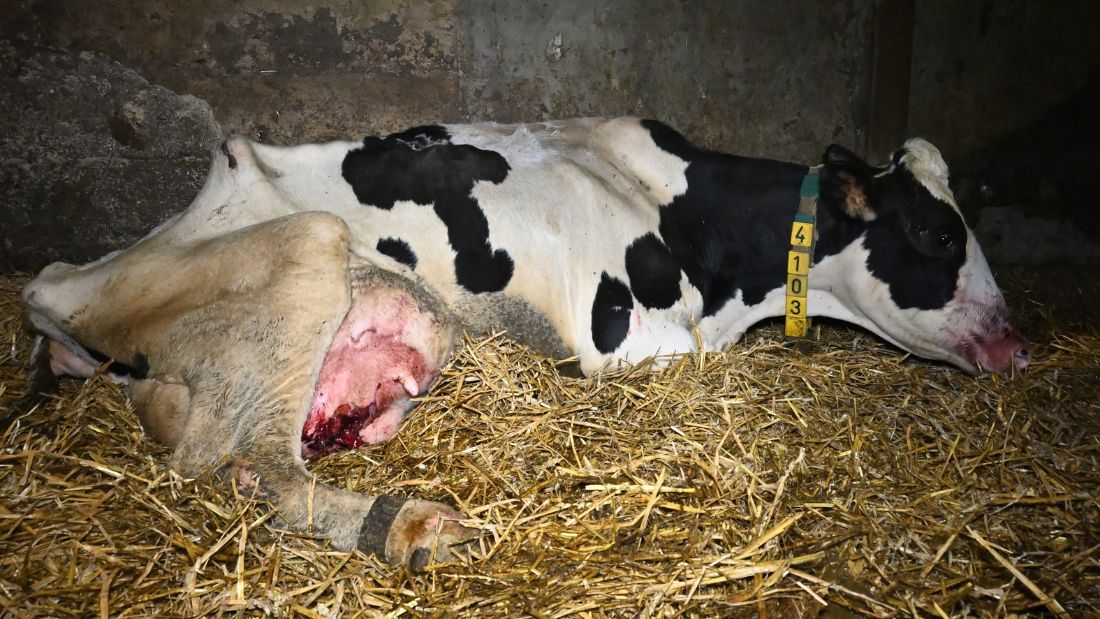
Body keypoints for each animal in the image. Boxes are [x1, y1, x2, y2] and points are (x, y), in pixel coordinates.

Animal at [10, 116, 1020, 571]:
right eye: (939, 236)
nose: (1015, 343)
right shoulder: (629, 342)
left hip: (415, 332)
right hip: (298, 257)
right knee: (249, 467)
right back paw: (412, 524)